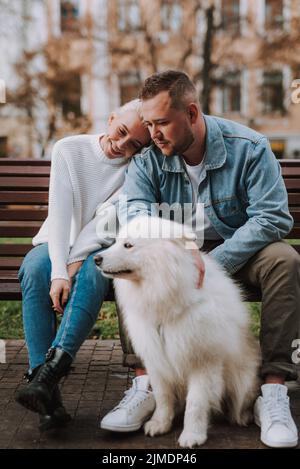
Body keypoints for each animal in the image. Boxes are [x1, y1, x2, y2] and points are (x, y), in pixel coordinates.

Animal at [94, 216, 260, 446]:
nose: (96, 259)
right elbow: (163, 398)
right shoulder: (157, 360)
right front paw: (160, 424)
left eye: (128, 245)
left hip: (243, 380)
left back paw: (243, 416)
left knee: (241, 402)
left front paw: (192, 435)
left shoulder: (203, 360)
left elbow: (196, 404)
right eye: (117, 242)